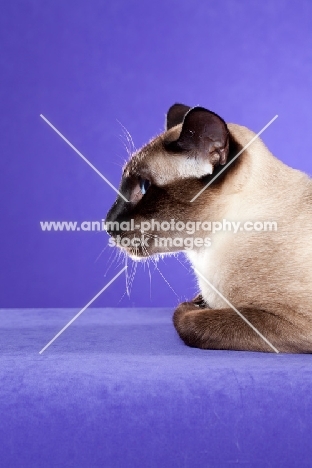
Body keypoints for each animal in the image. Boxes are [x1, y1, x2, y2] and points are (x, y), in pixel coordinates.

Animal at [105, 102, 312, 352]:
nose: (107, 223)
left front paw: (193, 307)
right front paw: (198, 302)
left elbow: (189, 322)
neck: (205, 257)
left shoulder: (286, 320)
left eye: (144, 188)